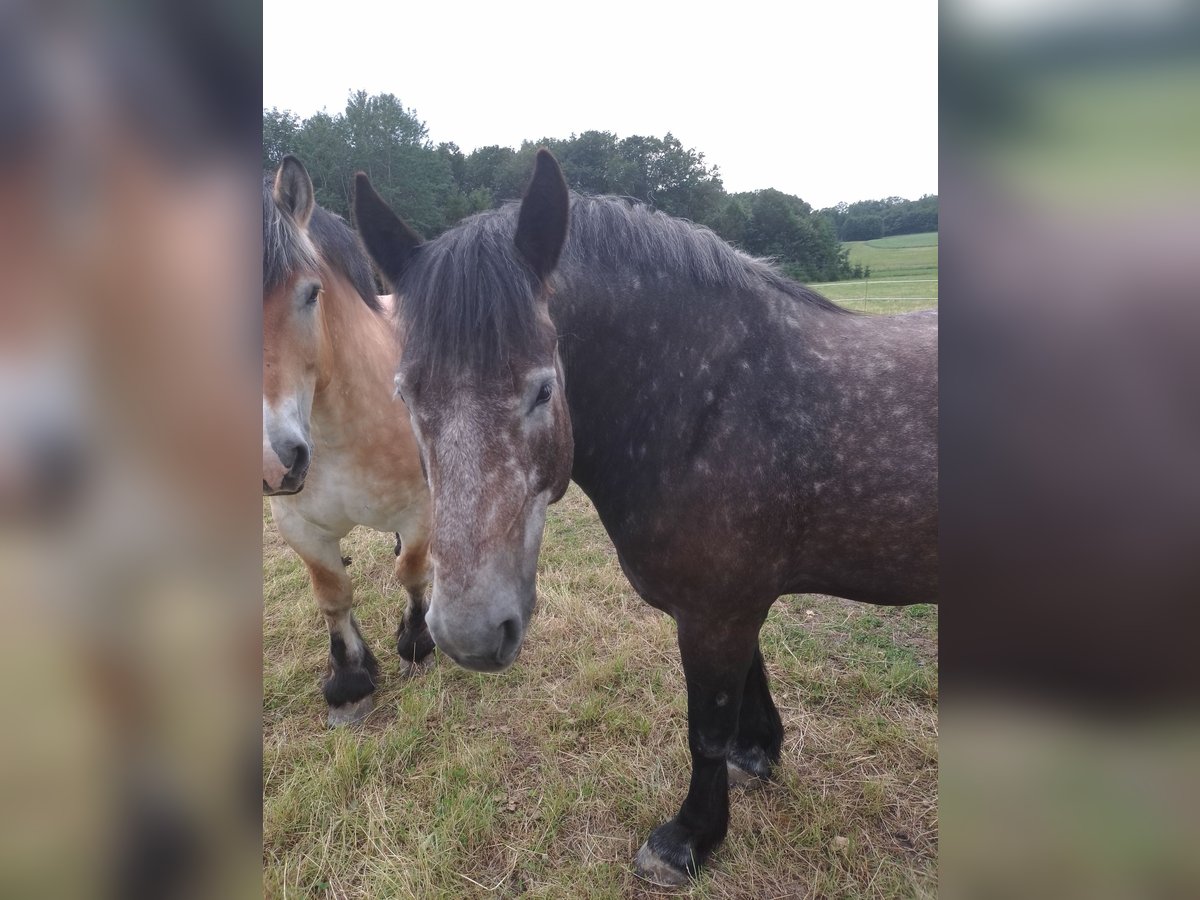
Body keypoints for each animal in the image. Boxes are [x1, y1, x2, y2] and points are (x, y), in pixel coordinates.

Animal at [262, 158, 436, 729]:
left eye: (312, 293)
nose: (272, 460)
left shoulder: (419, 509)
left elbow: (412, 571)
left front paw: (416, 644)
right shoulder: (298, 524)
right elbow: (332, 593)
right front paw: (349, 681)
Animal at [350, 151, 940, 883]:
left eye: (543, 389)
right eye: (405, 394)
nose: (469, 634)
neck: (708, 403)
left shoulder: (716, 609)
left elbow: (706, 726)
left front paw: (689, 837)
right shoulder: (732, 603)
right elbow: (748, 684)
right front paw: (757, 753)